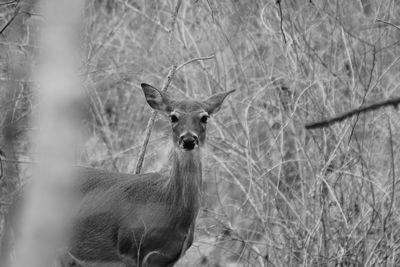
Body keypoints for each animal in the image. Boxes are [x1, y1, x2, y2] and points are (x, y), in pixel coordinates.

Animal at [0, 84, 233, 267]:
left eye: (204, 117)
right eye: (173, 116)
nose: (188, 140)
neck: (168, 204)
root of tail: (16, 197)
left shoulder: (169, 259)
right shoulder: (130, 250)